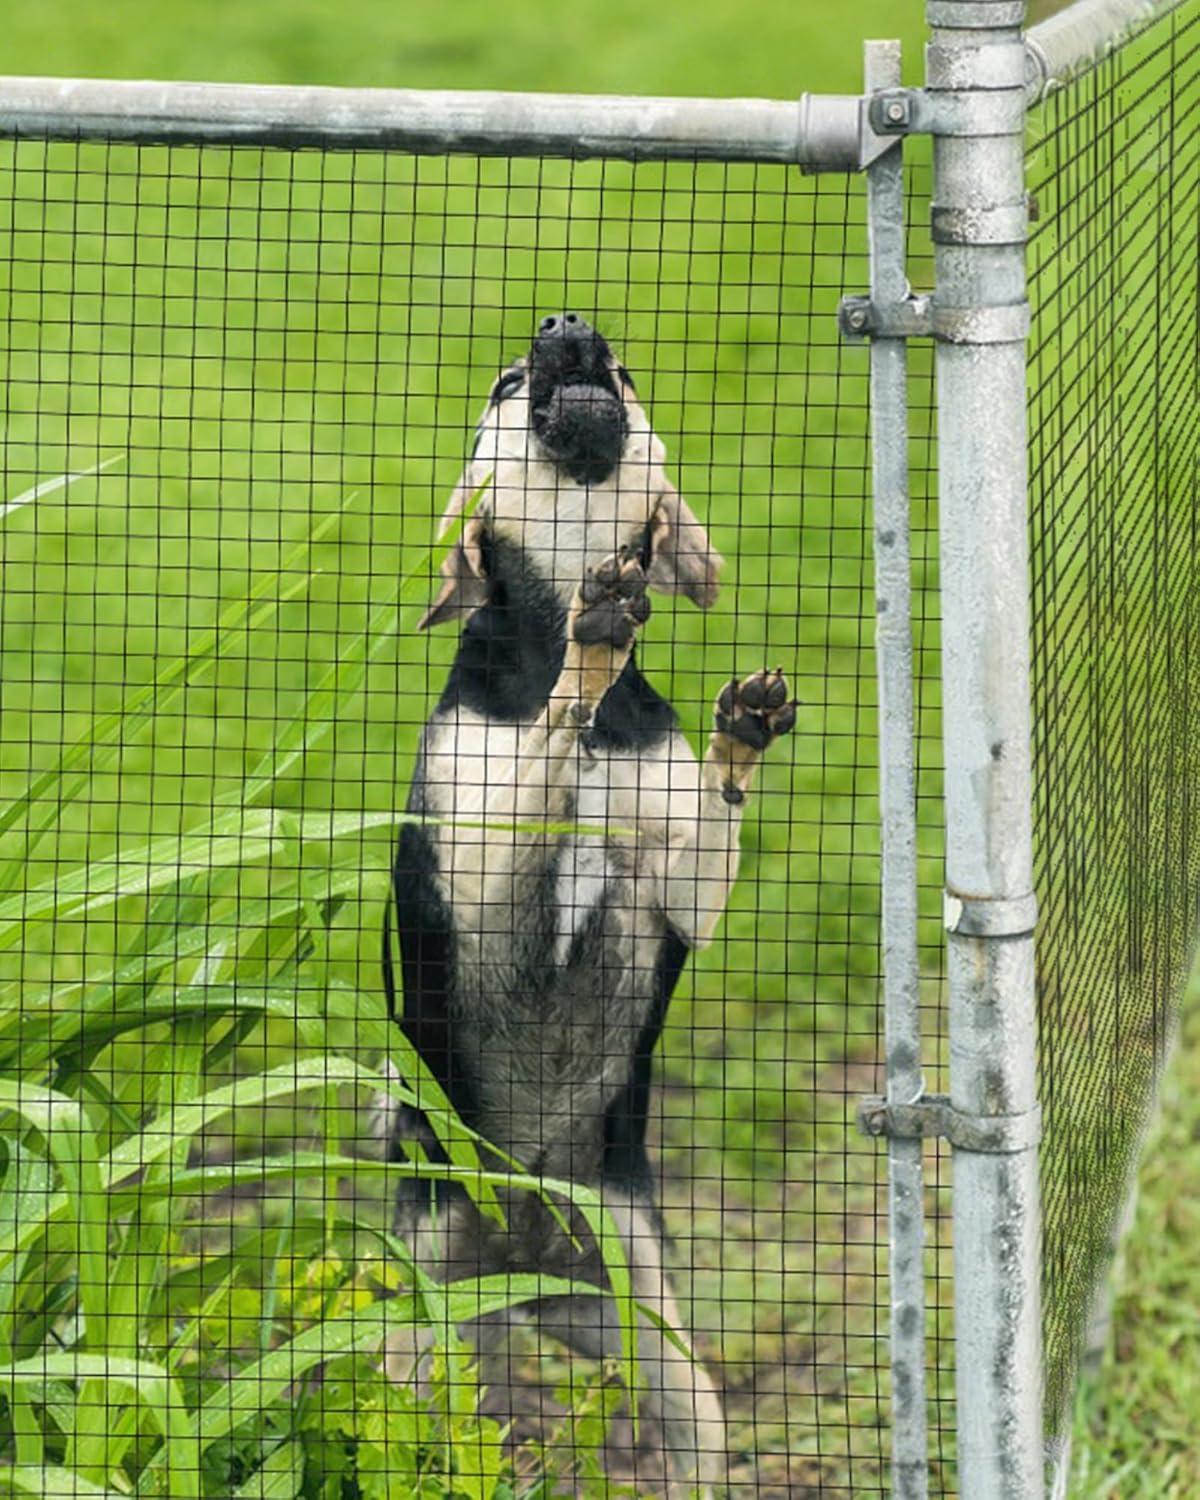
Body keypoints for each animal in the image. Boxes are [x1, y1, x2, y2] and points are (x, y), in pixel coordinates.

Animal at [384, 310, 798, 1494]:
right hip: (413, 1330)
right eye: (504, 381)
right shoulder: (483, 871)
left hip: (658, 1344)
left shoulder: (684, 894)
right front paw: (592, 644)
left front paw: (740, 737)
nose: (568, 325)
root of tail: (523, 1259)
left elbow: (705, 818)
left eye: (622, 370)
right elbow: (552, 735)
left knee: (689, 1424)